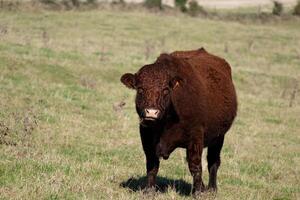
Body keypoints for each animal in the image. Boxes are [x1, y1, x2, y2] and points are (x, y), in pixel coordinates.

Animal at [119, 48, 237, 195]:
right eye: (140, 89)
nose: (151, 112)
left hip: (219, 137)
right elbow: (152, 165)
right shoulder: (146, 136)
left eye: (165, 90)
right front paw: (149, 191)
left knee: (213, 162)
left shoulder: (196, 137)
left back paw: (212, 189)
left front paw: (198, 192)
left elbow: (195, 166)